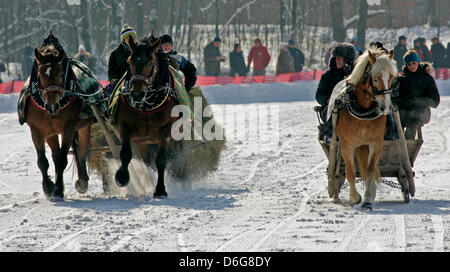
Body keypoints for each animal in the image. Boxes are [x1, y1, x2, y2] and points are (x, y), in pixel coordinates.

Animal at [23, 34, 94, 200]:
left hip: (82, 126)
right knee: (55, 154)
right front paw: (49, 187)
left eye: (61, 74)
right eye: (40, 75)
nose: (52, 105)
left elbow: (62, 159)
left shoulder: (69, 127)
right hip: (51, 132)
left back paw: (82, 180)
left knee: (81, 150)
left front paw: (57, 190)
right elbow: (43, 161)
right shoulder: (37, 129)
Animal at [112, 36, 178, 198]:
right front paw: (122, 177)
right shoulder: (125, 126)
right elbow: (125, 153)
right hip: (143, 140)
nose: (137, 93)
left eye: (150, 63)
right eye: (129, 61)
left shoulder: (167, 130)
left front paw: (160, 189)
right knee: (147, 160)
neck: (147, 106)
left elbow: (161, 160)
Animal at [330, 47, 398, 210]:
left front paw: (367, 199)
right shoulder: (347, 145)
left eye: (391, 77)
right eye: (375, 78)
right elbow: (350, 172)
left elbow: (370, 170)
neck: (363, 111)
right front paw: (355, 197)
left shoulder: (375, 143)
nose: (385, 107)